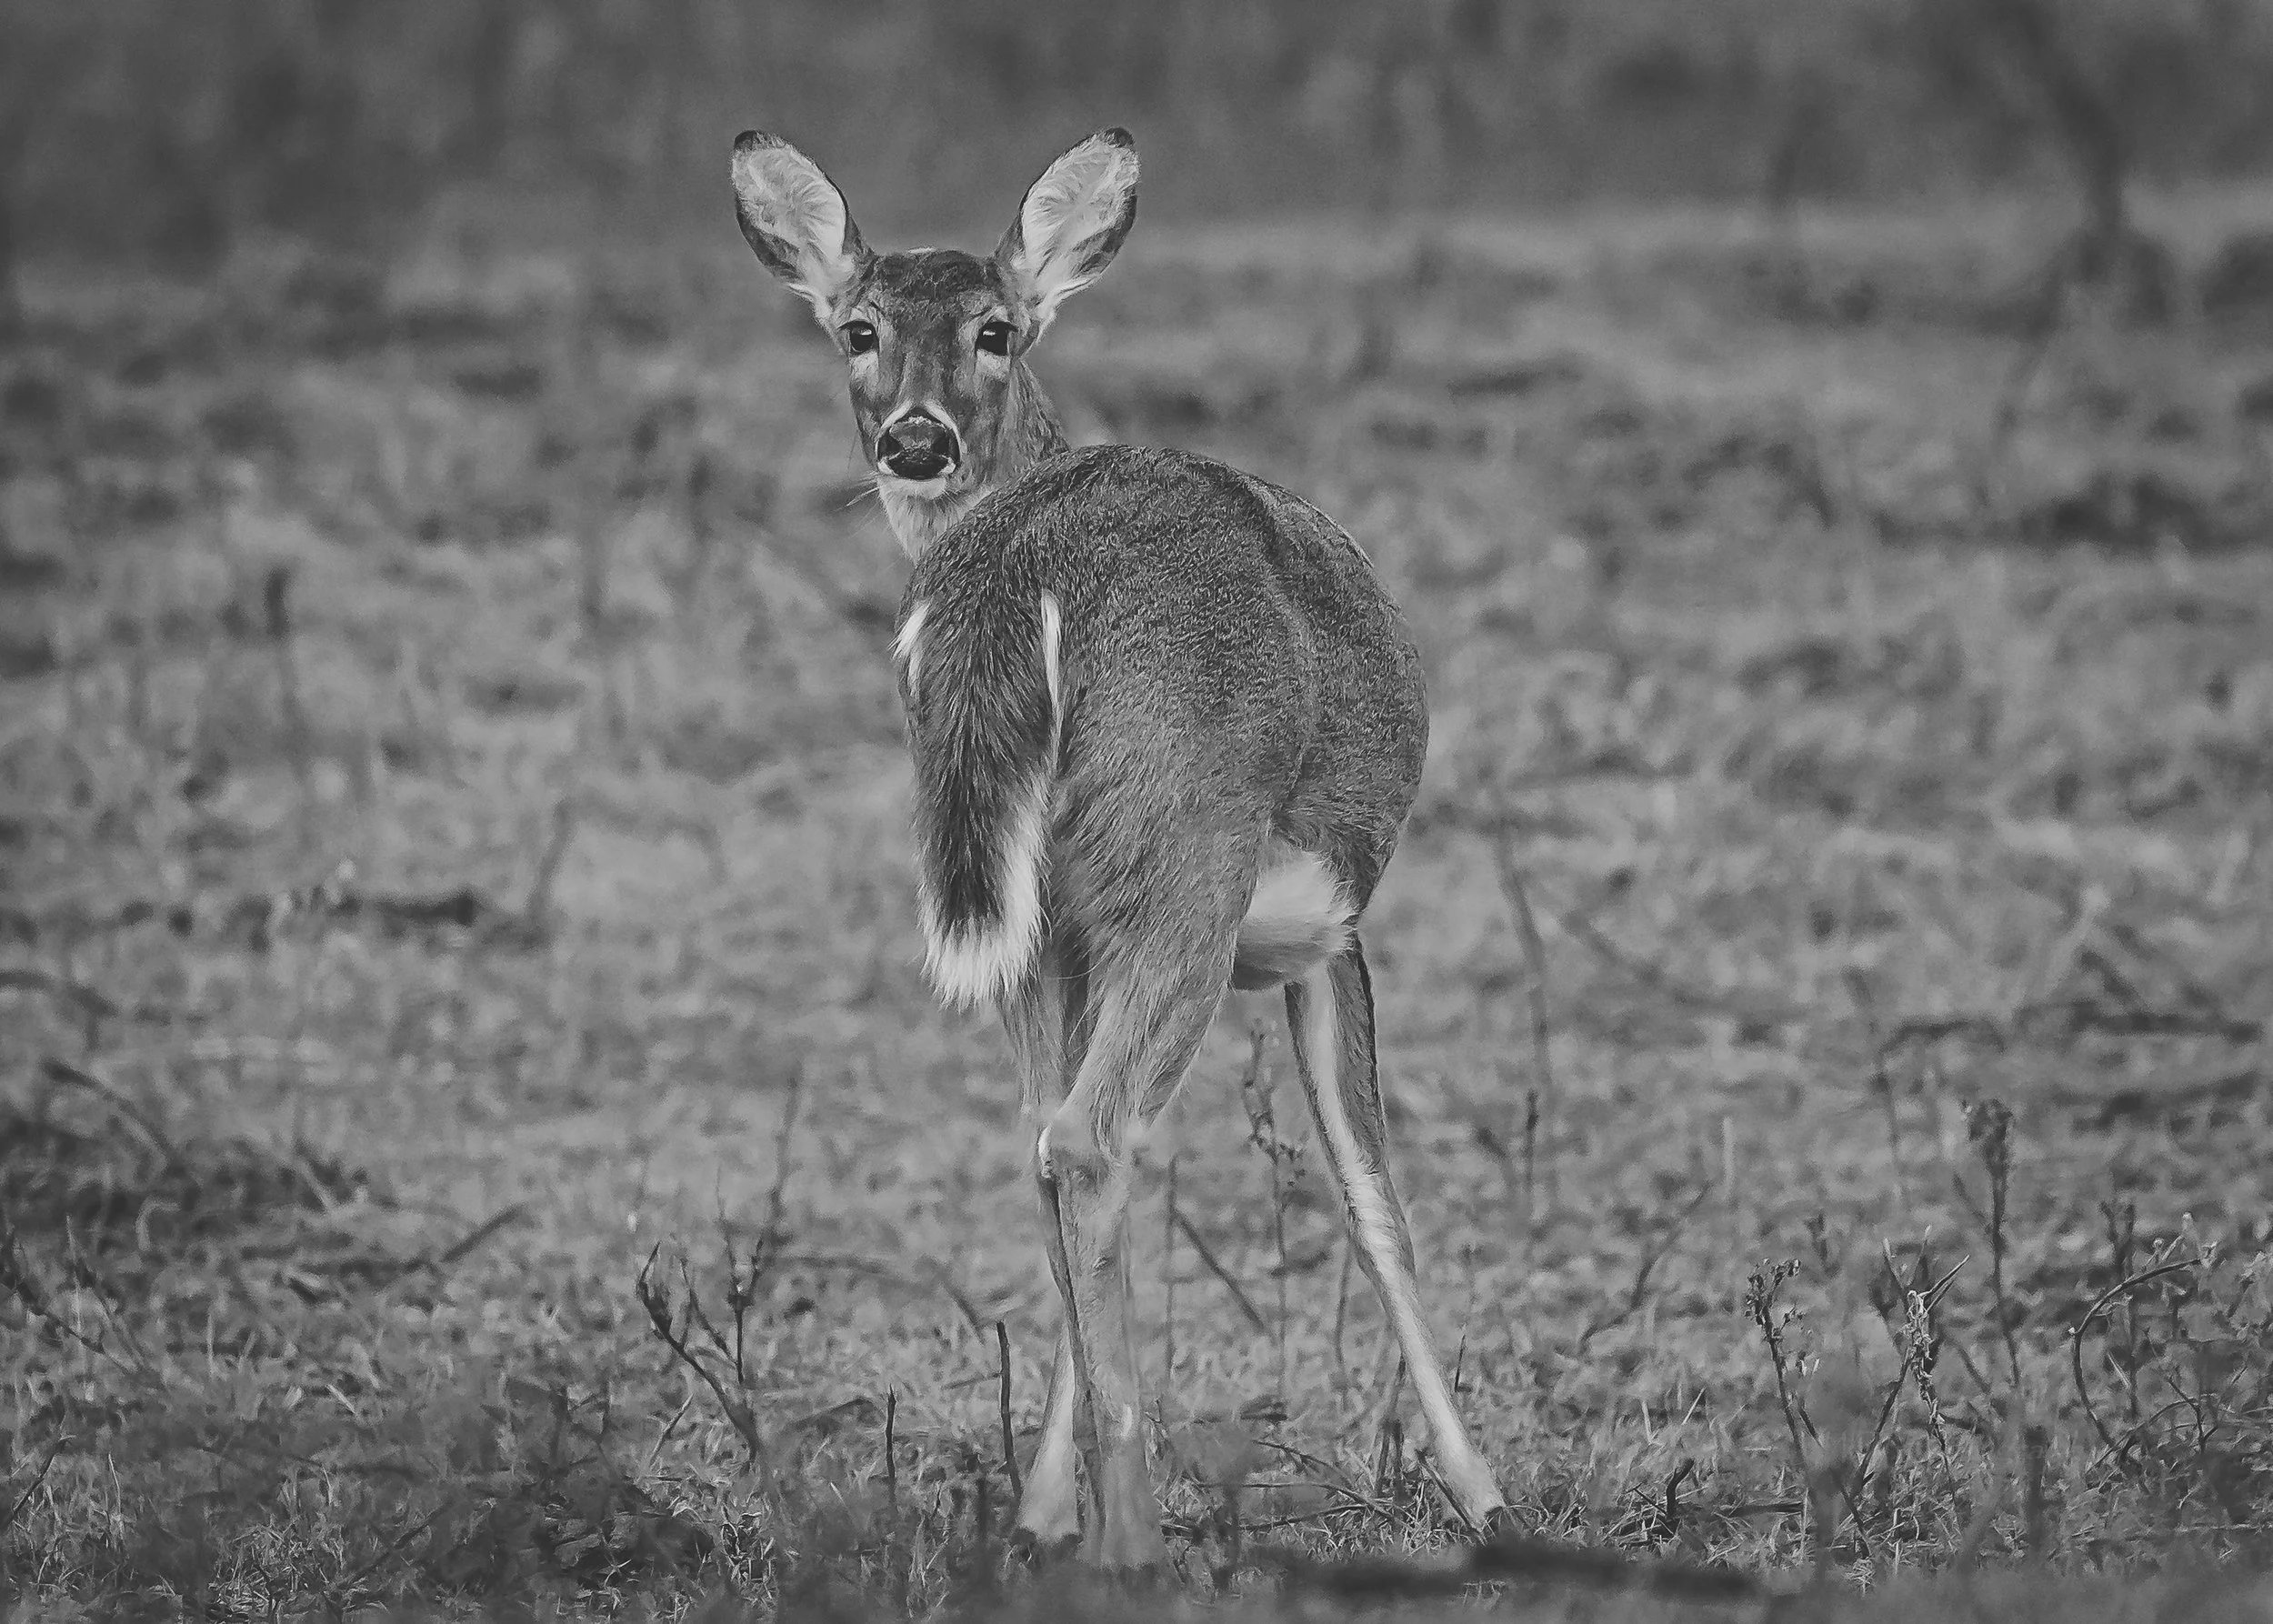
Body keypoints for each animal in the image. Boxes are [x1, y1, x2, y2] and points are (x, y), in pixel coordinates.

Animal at [730, 125, 1508, 1570]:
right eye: (859, 329)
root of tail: (1020, 565)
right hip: (1185, 858)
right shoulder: (1330, 930)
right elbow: (1375, 1201)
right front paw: (1491, 1496)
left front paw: (1041, 1503)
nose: (914, 437)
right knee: (1090, 1141)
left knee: (1049, 1141)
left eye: (994, 327)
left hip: (1038, 911)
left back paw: (1070, 1518)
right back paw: (1137, 1538)